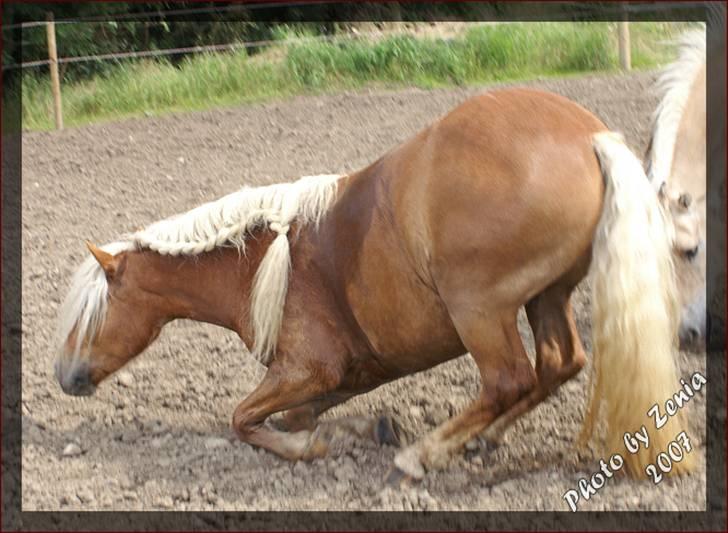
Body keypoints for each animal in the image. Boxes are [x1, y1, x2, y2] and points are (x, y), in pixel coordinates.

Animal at [54, 86, 692, 478]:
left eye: (91, 313)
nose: (64, 375)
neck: (257, 260)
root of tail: (589, 137)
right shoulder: (332, 376)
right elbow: (295, 415)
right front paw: (366, 426)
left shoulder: (308, 369)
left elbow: (244, 420)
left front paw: (315, 446)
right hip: (547, 296)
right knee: (559, 363)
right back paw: (477, 439)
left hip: (480, 309)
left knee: (509, 379)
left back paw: (424, 454)